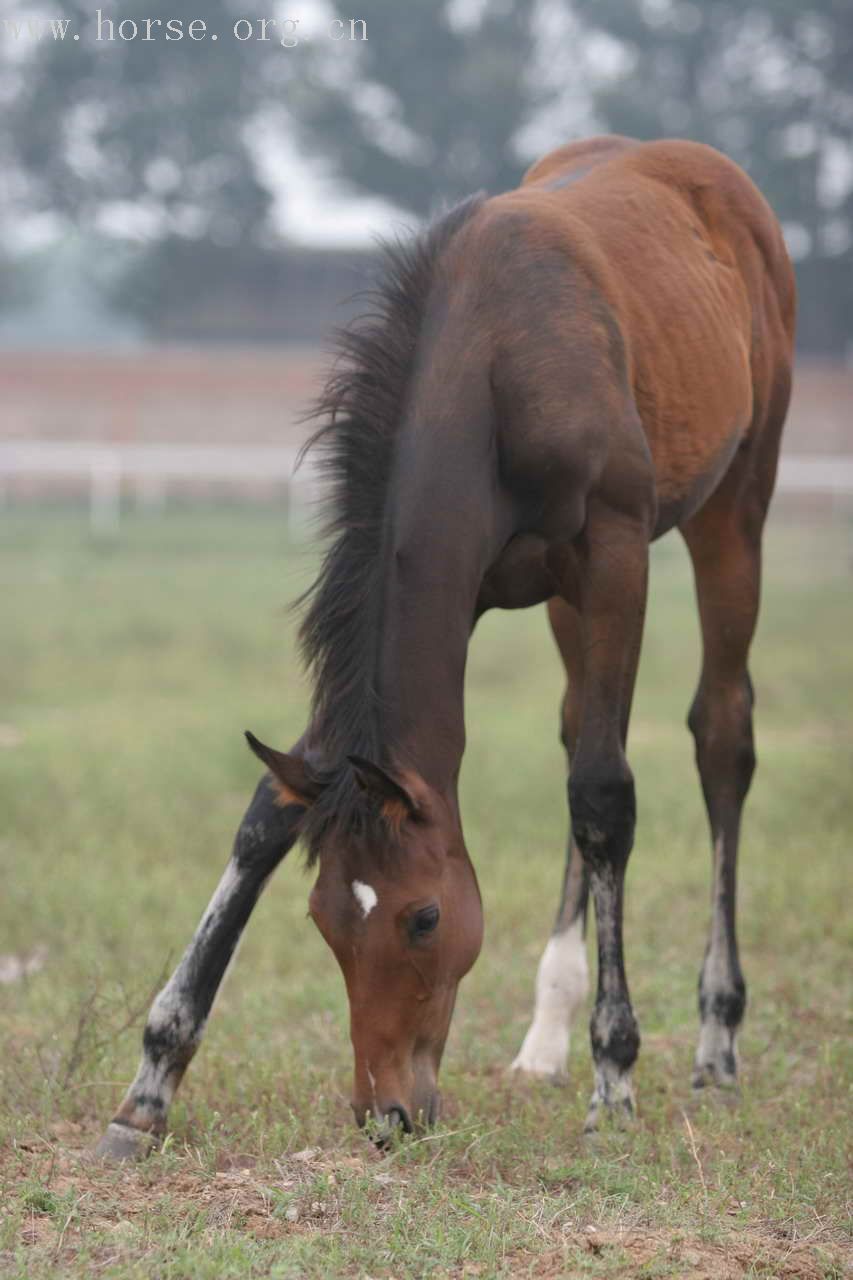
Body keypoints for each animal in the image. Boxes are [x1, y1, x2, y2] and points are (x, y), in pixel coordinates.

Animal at [96, 140, 794, 1162]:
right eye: (322, 919)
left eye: (424, 918)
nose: (386, 1113)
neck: (494, 363)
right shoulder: (466, 589)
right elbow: (271, 809)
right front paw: (149, 1084)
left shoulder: (615, 554)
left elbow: (604, 797)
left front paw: (617, 1077)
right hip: (567, 601)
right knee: (579, 726)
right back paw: (544, 1040)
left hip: (733, 507)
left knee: (719, 736)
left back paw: (714, 1040)